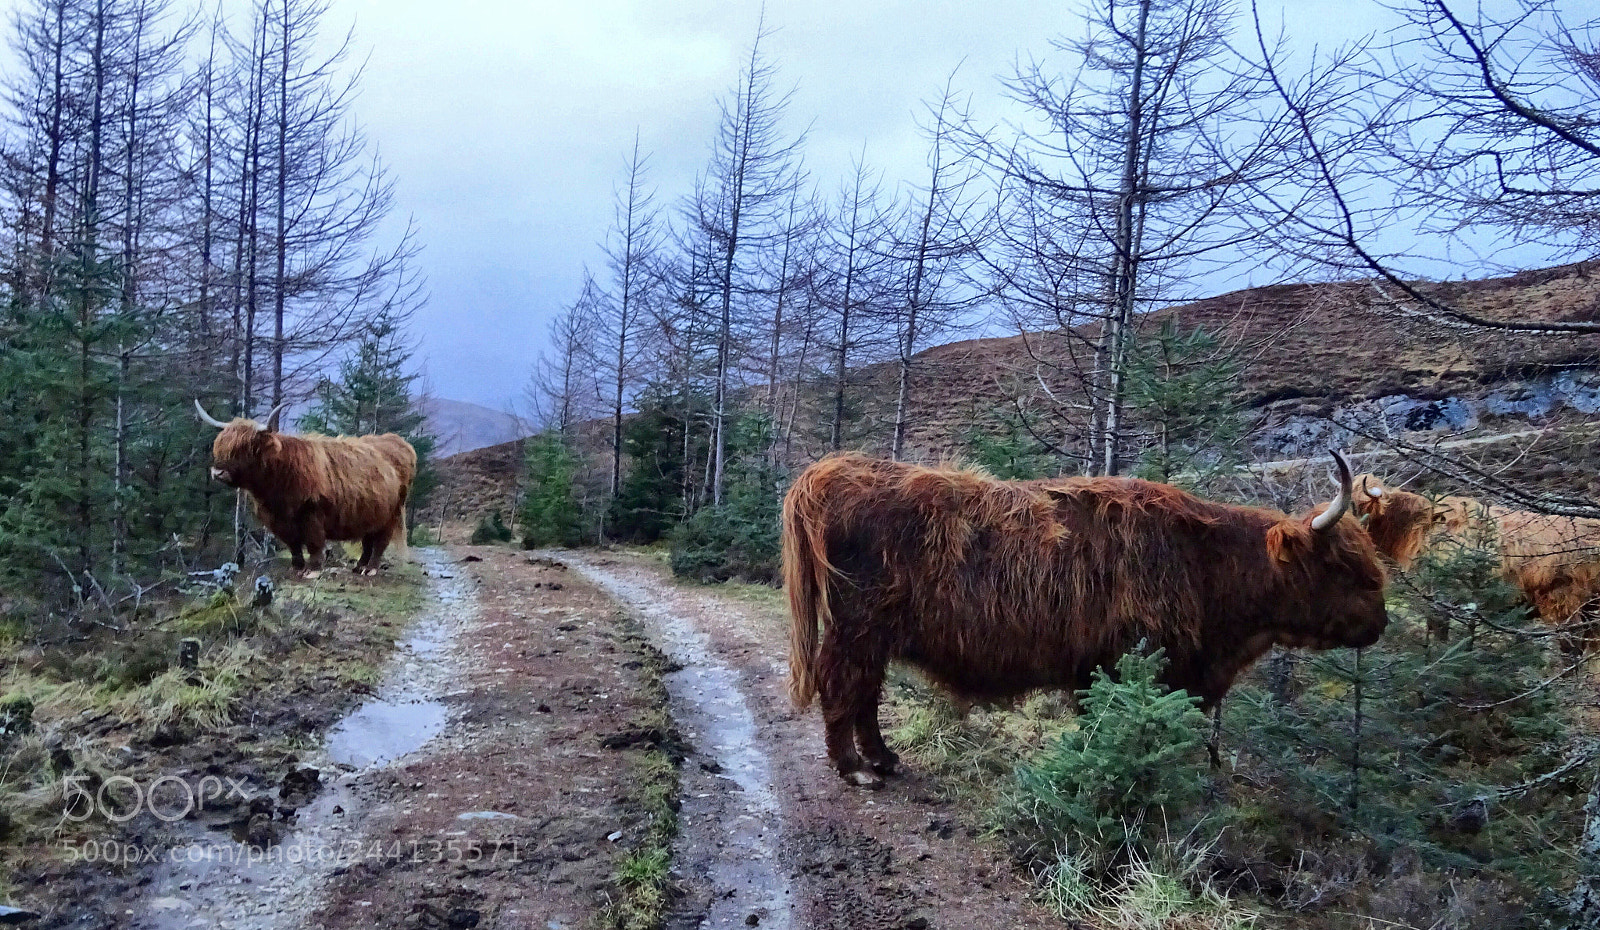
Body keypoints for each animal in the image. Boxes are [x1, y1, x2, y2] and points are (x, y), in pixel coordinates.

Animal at [194, 401, 416, 578]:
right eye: (219, 445)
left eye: (245, 448)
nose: (217, 472)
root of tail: (398, 441)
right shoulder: (278, 521)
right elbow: (293, 545)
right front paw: (297, 567)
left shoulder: (313, 514)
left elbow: (314, 543)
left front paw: (313, 570)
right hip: (372, 513)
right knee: (368, 541)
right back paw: (359, 566)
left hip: (391, 514)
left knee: (380, 542)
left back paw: (370, 568)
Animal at [784, 451, 1389, 787]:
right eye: (1341, 566)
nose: (1381, 622)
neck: (1207, 561)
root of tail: (833, 470)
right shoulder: (1125, 666)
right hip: (856, 629)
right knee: (842, 685)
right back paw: (854, 768)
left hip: (875, 636)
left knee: (866, 693)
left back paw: (883, 758)